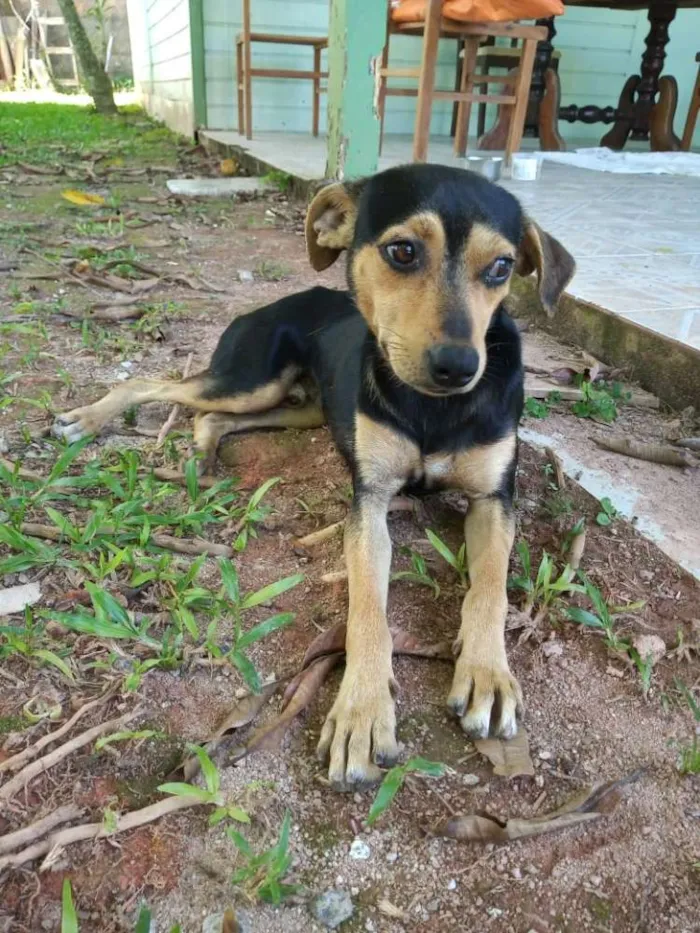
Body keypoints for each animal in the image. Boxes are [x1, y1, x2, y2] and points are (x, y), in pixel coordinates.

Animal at [56, 162, 576, 788]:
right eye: (403, 251)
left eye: (500, 266)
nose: (458, 367)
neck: (434, 410)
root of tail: (282, 299)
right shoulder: (369, 502)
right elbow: (369, 609)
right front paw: (362, 710)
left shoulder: (494, 499)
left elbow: (491, 587)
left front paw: (487, 673)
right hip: (250, 377)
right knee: (153, 385)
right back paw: (88, 420)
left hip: (298, 404)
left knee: (212, 417)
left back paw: (201, 455)